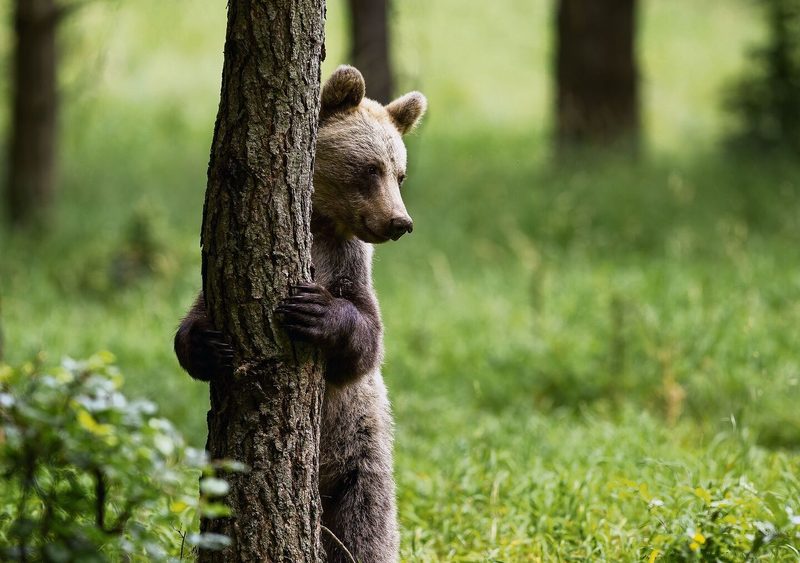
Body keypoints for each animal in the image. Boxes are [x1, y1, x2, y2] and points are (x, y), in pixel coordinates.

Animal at [174, 65, 427, 563]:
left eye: (400, 174)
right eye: (371, 168)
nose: (400, 223)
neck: (321, 224)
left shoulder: (348, 266)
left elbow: (366, 339)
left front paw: (314, 311)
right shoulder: (221, 266)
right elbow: (191, 327)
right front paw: (210, 343)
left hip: (360, 459)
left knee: (365, 530)